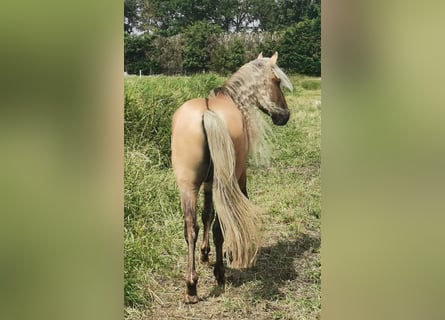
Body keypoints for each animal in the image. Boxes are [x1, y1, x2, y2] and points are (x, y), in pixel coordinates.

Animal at [170, 52, 292, 302]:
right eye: (276, 81)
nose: (284, 116)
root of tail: (207, 112)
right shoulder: (239, 178)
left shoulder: (207, 184)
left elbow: (205, 215)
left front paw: (204, 254)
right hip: (224, 183)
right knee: (220, 227)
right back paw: (219, 274)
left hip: (188, 186)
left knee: (191, 228)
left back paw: (191, 286)